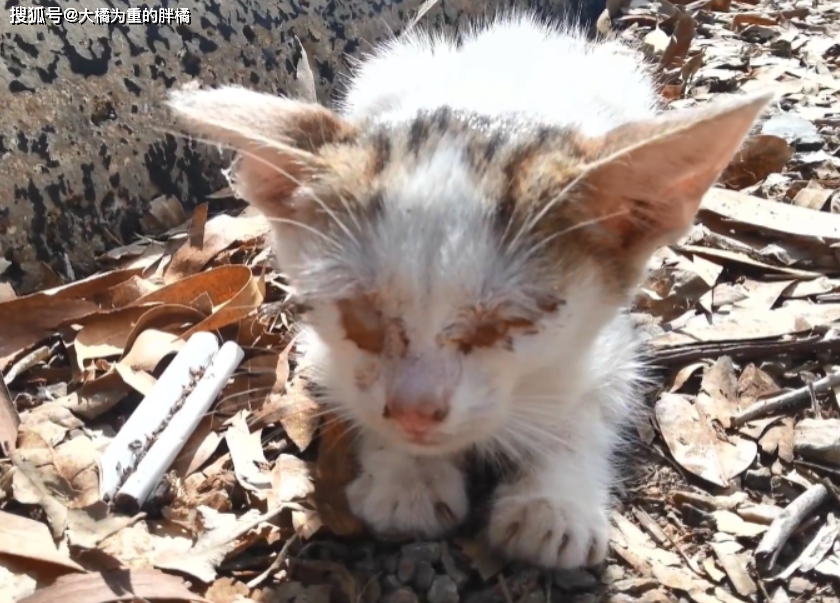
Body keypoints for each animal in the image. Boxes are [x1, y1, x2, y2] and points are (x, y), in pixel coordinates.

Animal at [169, 13, 776, 572]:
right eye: (362, 316)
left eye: (506, 323)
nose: (415, 410)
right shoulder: (323, 353)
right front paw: (406, 477)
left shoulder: (613, 344)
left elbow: (592, 401)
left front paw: (554, 502)